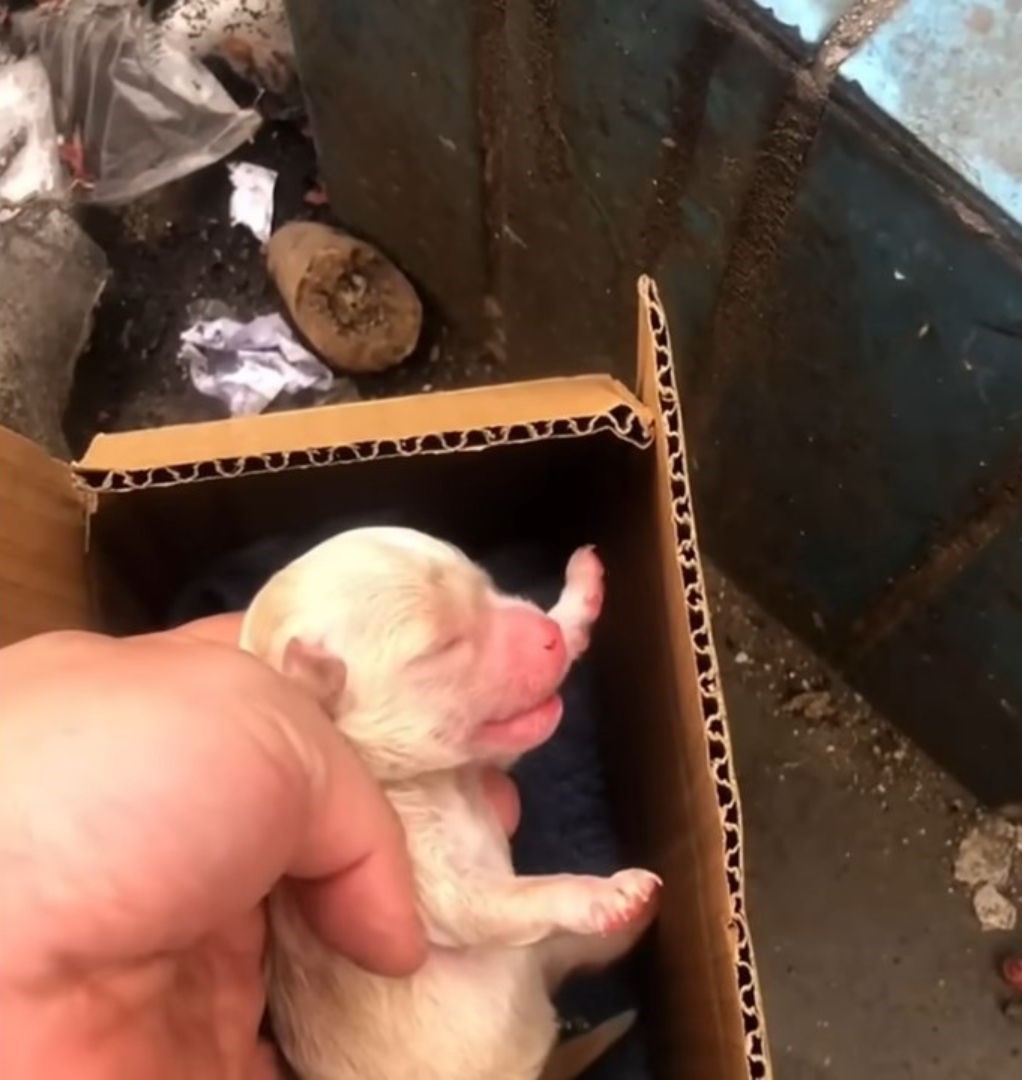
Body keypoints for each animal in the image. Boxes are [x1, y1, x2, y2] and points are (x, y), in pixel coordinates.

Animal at [238, 529, 656, 1080]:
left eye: (487, 581)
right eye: (442, 645)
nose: (547, 634)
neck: (430, 781)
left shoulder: (481, 762)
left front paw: (577, 598)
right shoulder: (425, 879)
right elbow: (496, 899)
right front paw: (602, 893)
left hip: (550, 952)